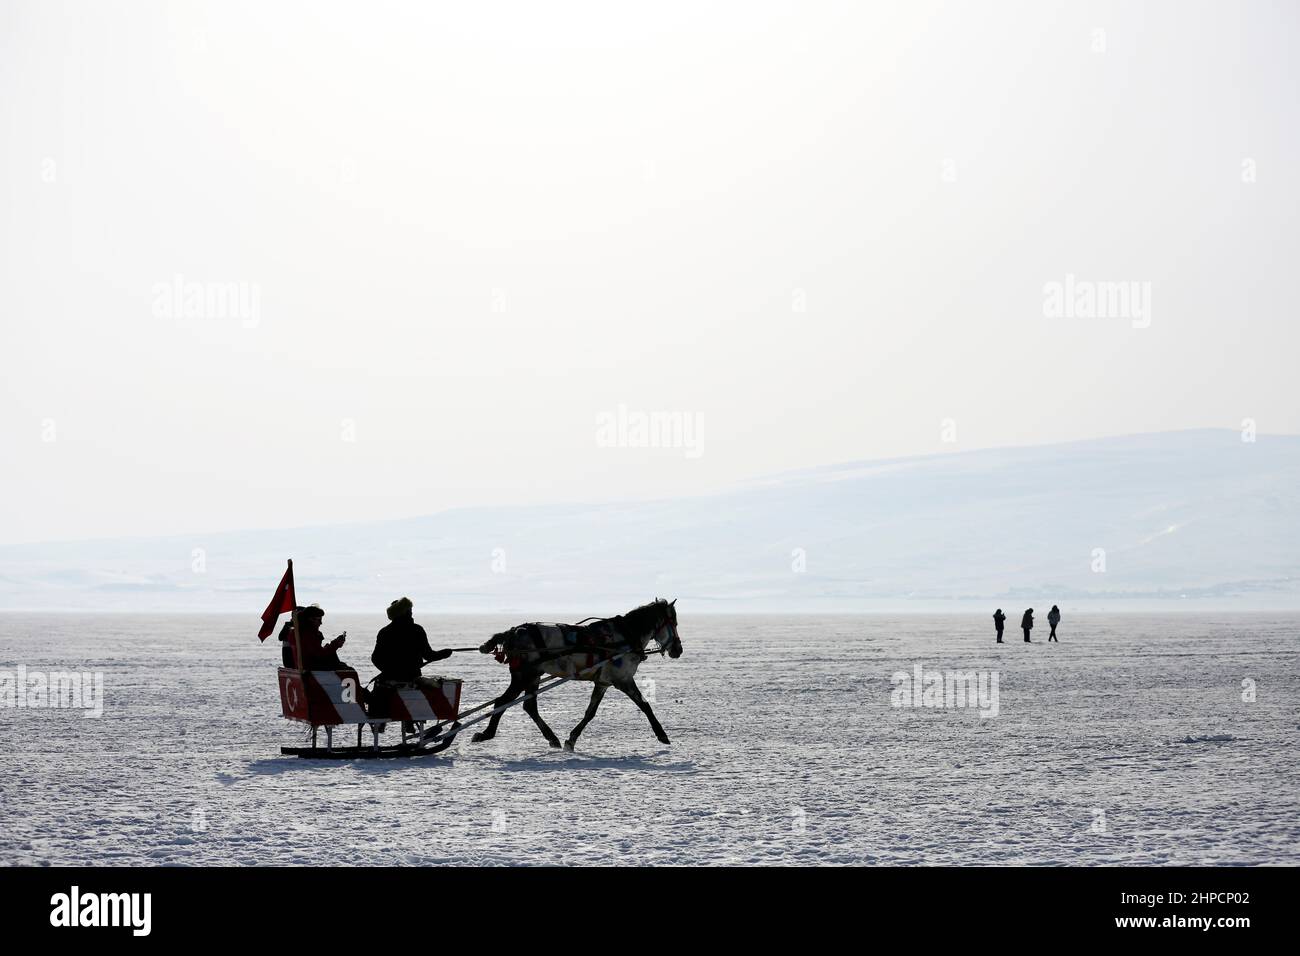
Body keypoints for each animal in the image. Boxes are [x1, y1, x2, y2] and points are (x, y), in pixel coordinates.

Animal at [473, 598, 686, 749]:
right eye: (674, 623)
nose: (678, 650)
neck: (625, 636)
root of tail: (514, 631)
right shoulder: (623, 679)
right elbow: (645, 705)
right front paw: (662, 734)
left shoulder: (603, 682)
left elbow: (590, 712)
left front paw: (572, 739)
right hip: (523, 675)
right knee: (502, 702)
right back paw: (486, 734)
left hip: (533, 675)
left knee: (529, 706)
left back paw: (552, 738)